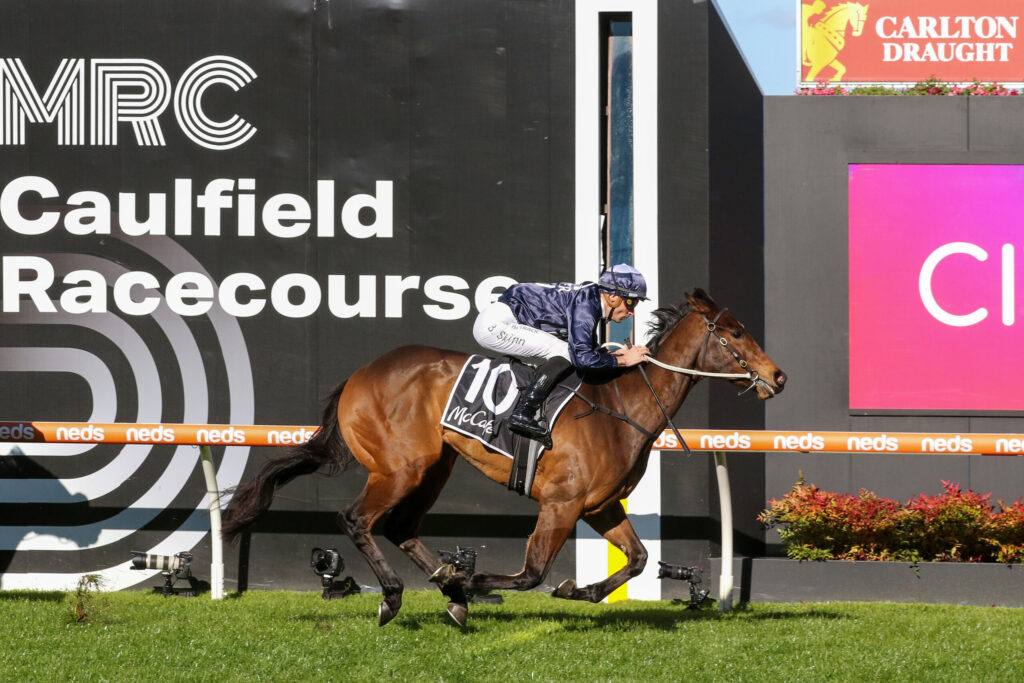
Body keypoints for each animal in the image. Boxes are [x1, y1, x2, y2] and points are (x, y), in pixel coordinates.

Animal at [221, 288, 786, 626]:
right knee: (356, 519)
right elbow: (532, 572)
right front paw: (474, 580)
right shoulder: (561, 503)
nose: (777, 376)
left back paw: (450, 595)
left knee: (401, 526)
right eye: (735, 333)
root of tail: (359, 375)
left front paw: (575, 590)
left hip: (436, 466)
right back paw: (399, 594)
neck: (621, 406)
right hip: (400, 467)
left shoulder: (599, 505)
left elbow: (640, 558)